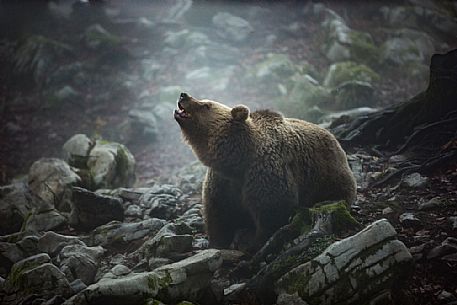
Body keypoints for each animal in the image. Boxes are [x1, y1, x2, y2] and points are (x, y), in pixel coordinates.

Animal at [175, 92, 356, 247]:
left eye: (206, 105)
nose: (183, 95)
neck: (236, 161)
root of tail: (333, 138)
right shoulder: (221, 181)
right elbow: (218, 214)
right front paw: (218, 242)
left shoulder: (264, 171)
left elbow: (272, 210)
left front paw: (254, 242)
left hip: (327, 175)